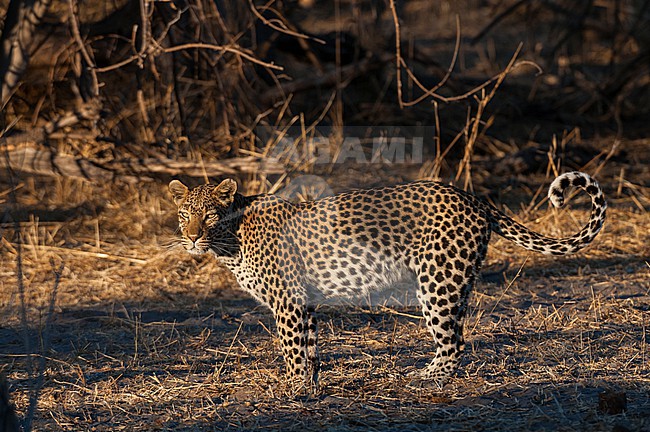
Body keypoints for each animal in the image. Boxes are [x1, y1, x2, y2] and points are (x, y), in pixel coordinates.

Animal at [169, 171, 606, 391]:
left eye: (208, 215)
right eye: (185, 213)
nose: (191, 237)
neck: (230, 241)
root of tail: (473, 197)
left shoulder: (288, 302)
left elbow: (292, 350)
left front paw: (291, 389)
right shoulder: (304, 304)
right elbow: (309, 350)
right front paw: (310, 386)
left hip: (438, 281)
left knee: (454, 342)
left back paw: (427, 379)